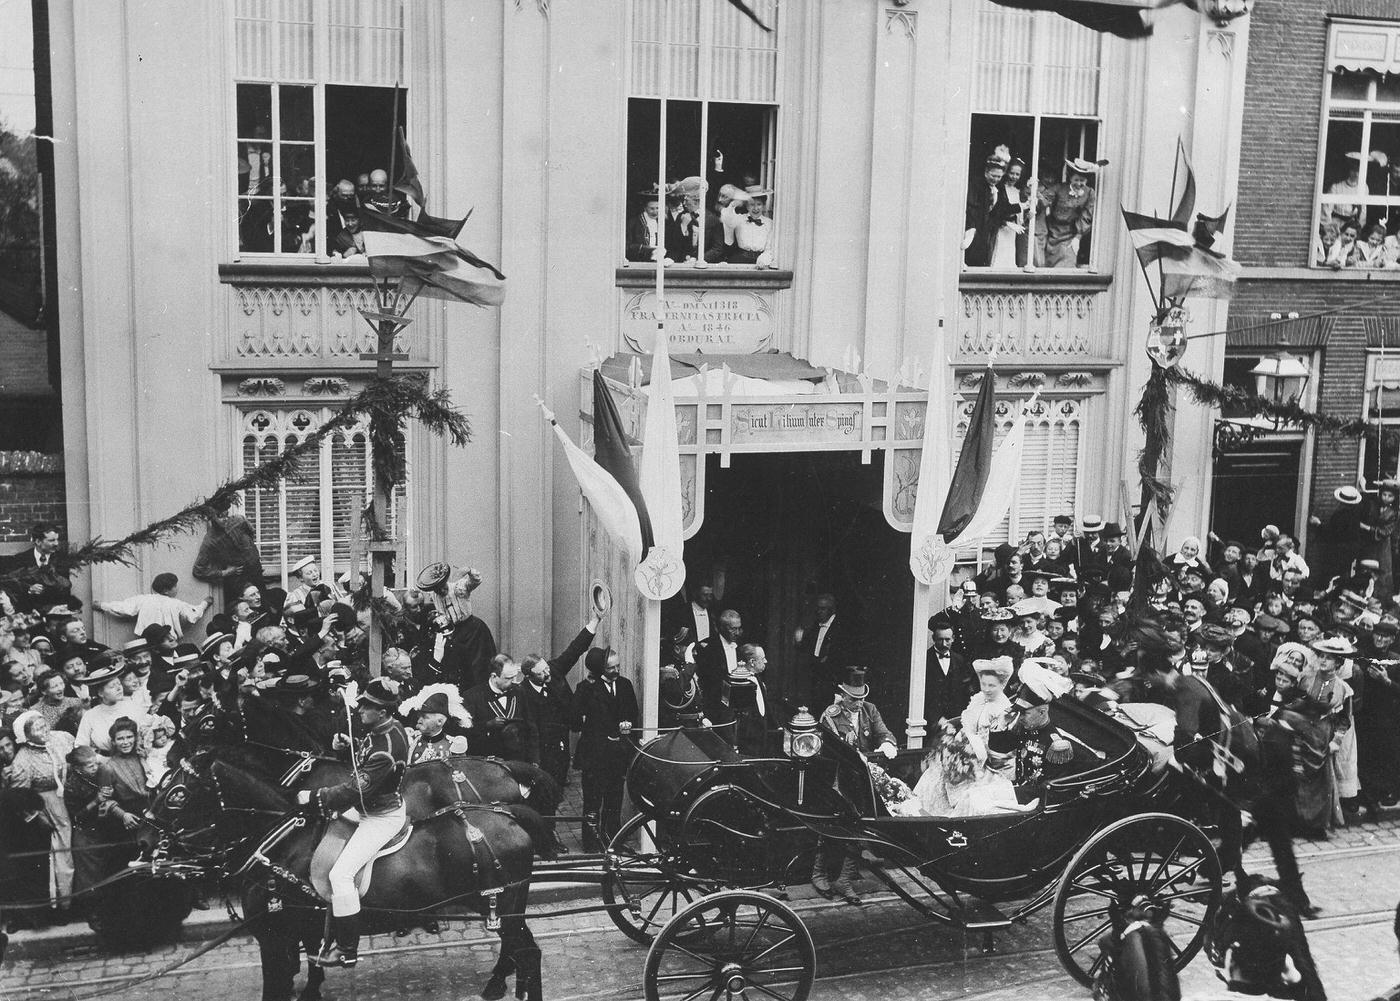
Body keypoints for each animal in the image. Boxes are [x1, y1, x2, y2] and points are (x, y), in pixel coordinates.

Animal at [150, 761, 543, 1001]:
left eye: (177, 794)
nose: (144, 835)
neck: (280, 844)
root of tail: (508, 814)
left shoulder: (275, 937)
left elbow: (277, 983)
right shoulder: (302, 929)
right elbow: (309, 961)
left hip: (500, 903)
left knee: (527, 953)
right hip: (507, 908)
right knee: (519, 950)